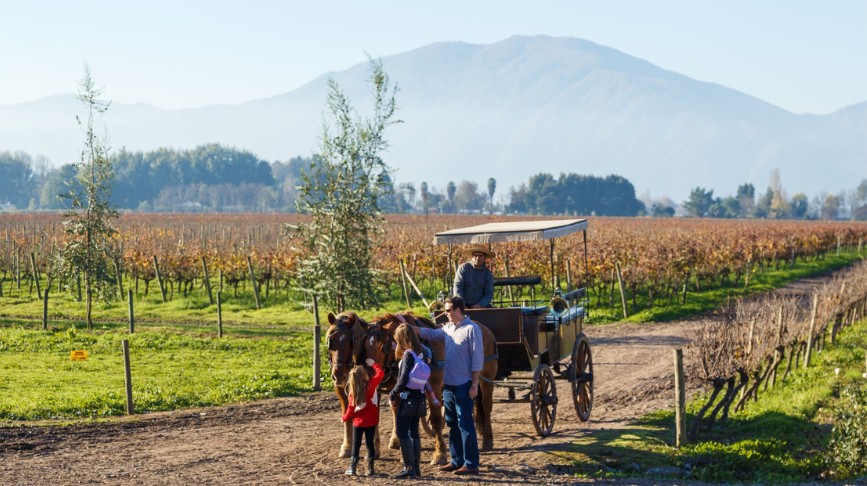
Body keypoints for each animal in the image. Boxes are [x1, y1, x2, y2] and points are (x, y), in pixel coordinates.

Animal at [326, 314, 366, 458]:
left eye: (351, 342)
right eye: (331, 341)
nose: (339, 375)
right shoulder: (339, 388)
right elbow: (347, 414)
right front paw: (347, 447)